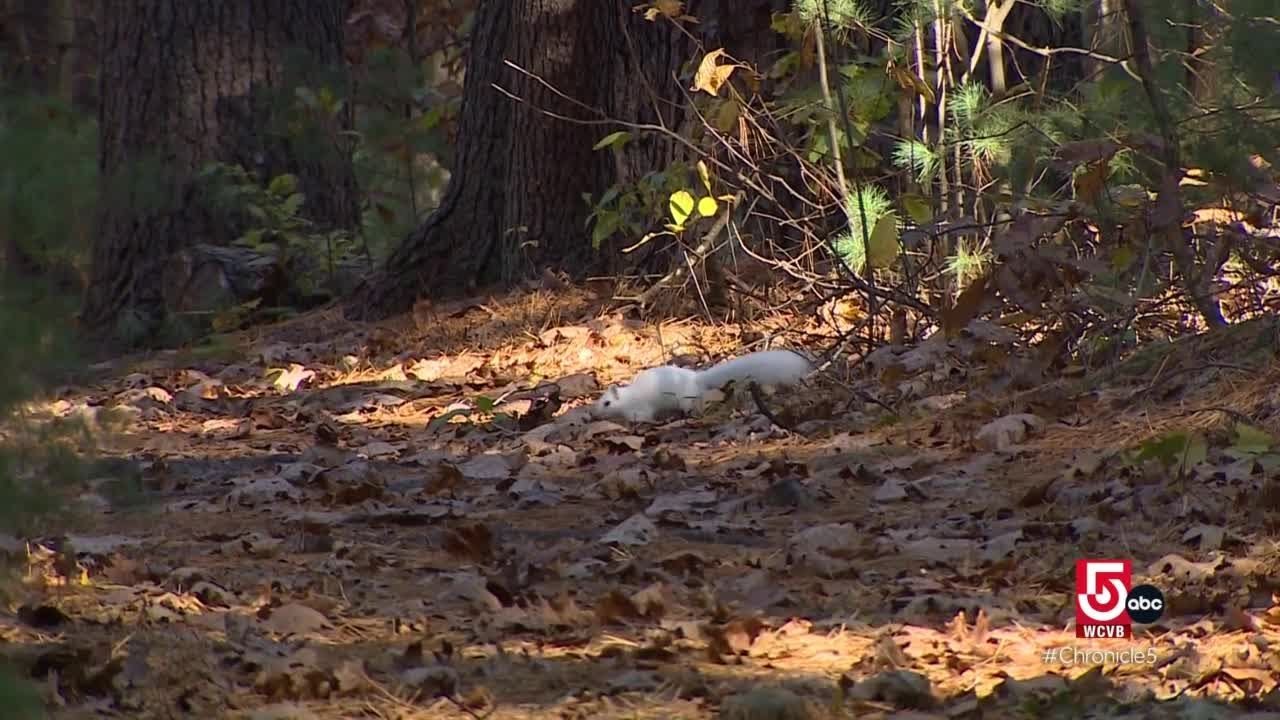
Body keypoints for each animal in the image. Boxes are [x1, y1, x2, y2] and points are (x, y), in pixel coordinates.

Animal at [591, 349, 813, 423]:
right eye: (597, 402)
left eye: (607, 403)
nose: (594, 415)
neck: (628, 398)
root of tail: (696, 379)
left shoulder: (639, 410)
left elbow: (642, 417)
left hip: (686, 400)